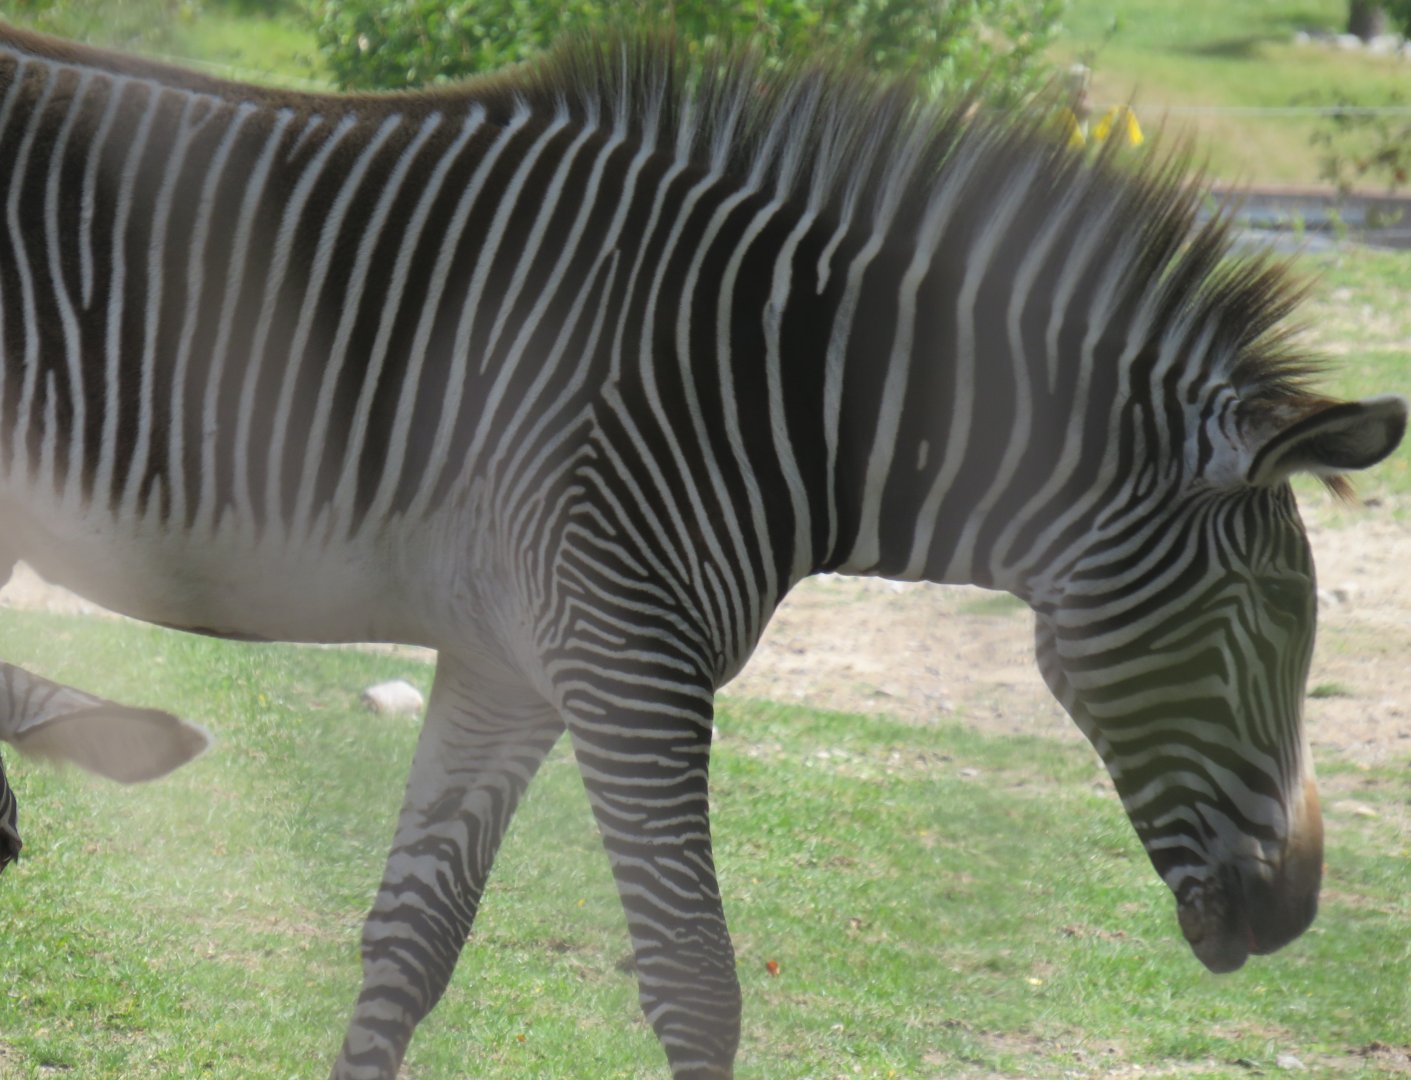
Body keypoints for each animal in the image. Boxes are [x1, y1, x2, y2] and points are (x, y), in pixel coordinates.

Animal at [0, 21, 1405, 1079]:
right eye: (1268, 625)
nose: (1294, 913)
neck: (777, 386)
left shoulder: (511, 663)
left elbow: (413, 936)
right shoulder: (627, 660)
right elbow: (693, 977)